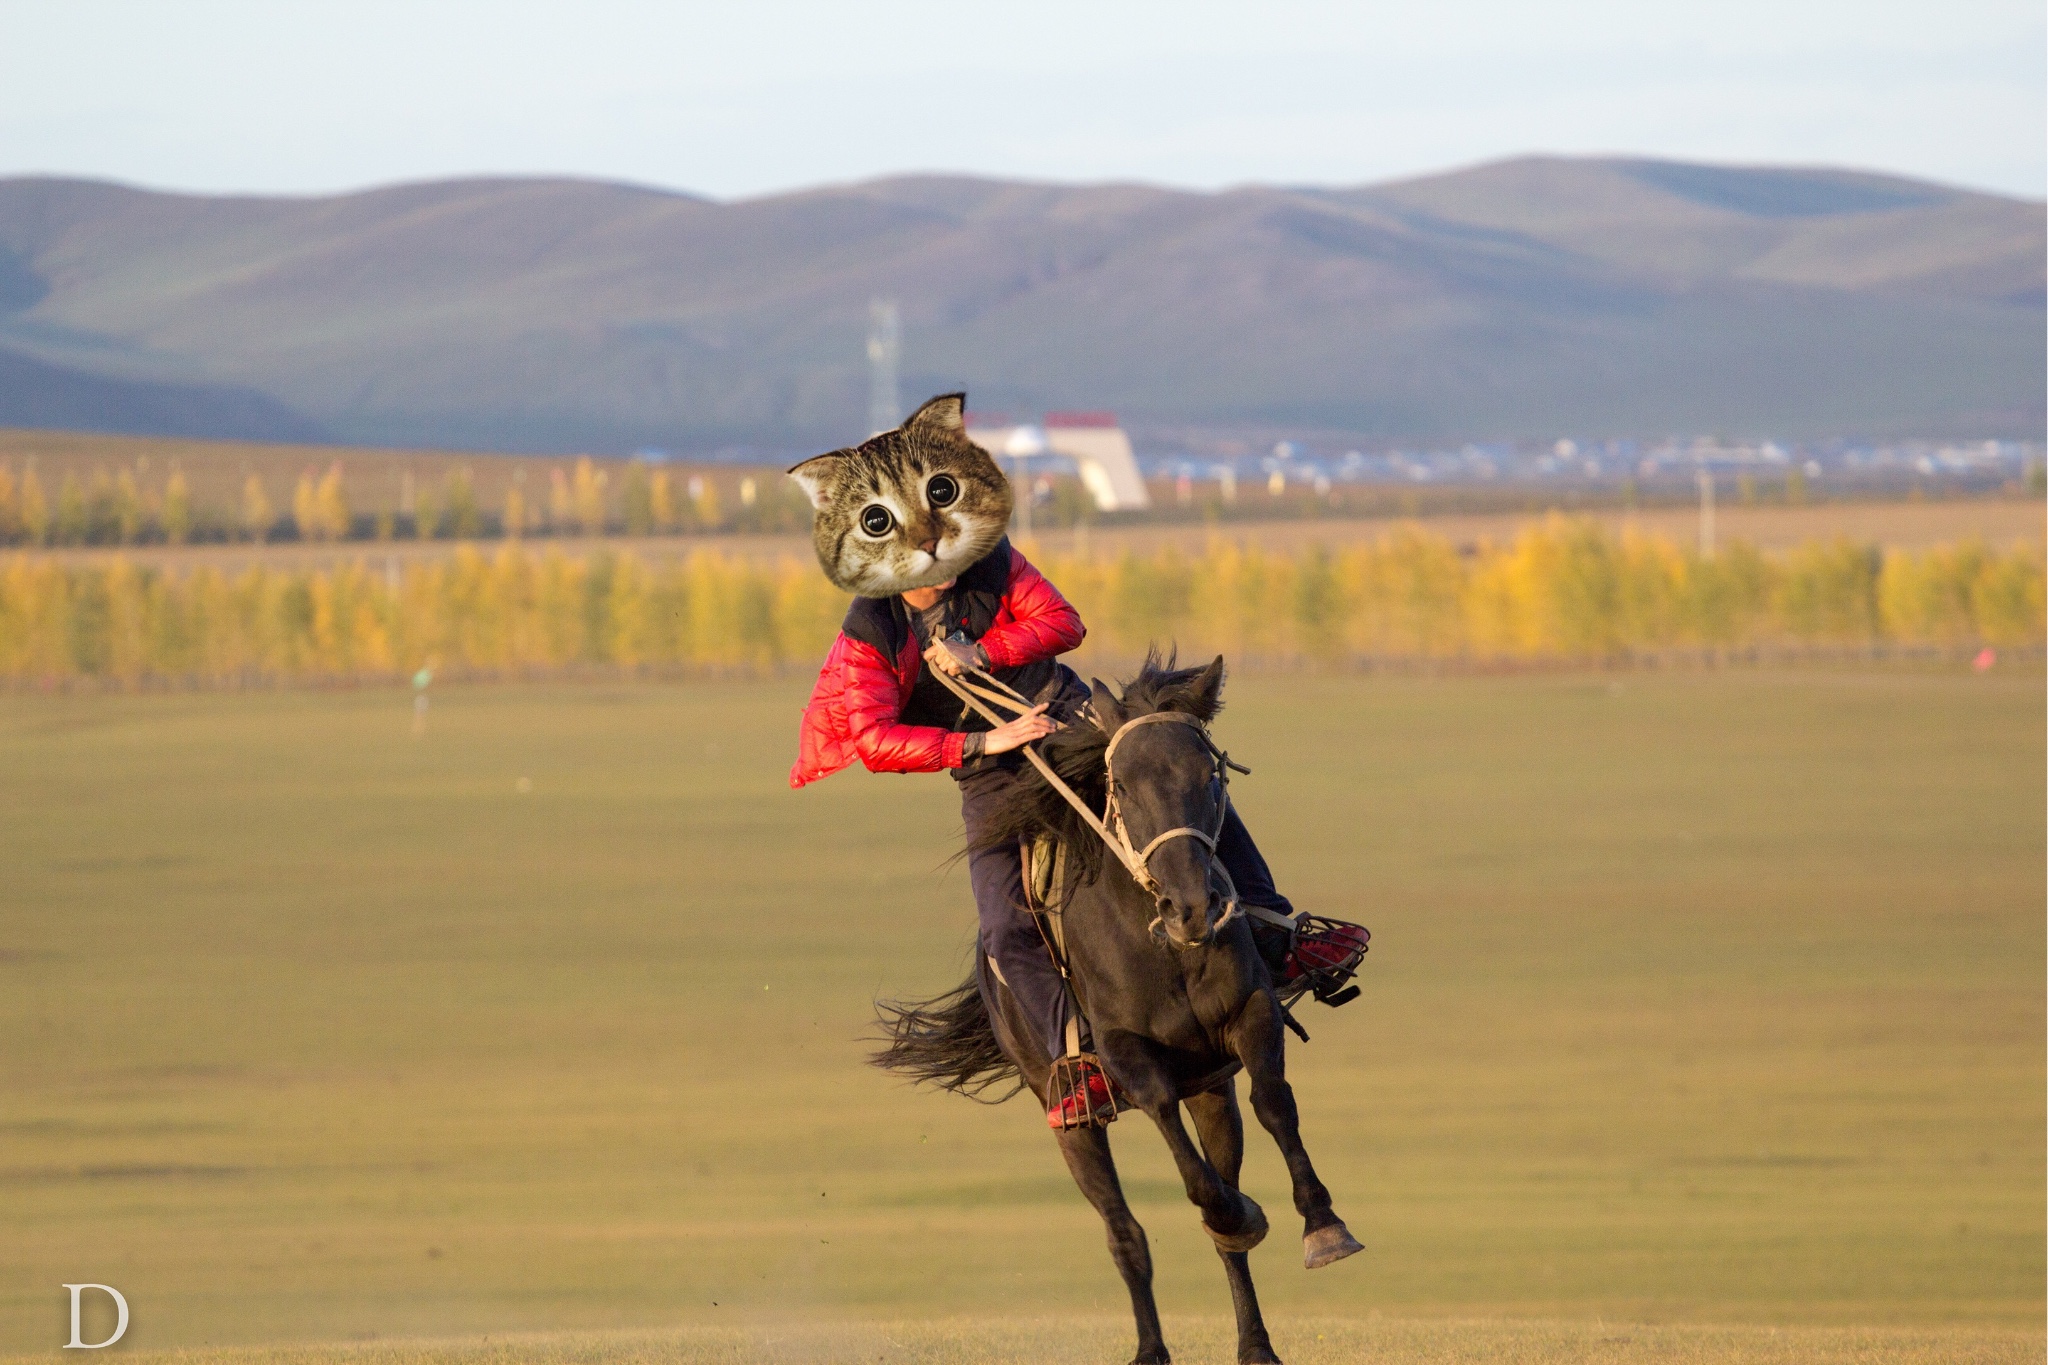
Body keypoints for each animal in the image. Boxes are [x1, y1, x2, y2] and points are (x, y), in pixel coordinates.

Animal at [876, 654, 1359, 1358]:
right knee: (1124, 1234)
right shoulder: (1127, 1051)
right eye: (1122, 786)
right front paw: (1239, 1214)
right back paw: (1152, 1348)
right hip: (1068, 1120)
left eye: (1211, 777)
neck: (1165, 947)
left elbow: (1273, 1103)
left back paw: (1256, 1344)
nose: (1193, 909)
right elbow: (1177, 1147)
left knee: (1223, 1204)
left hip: (1210, 1089)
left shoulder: (1250, 1014)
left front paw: (1323, 1227)